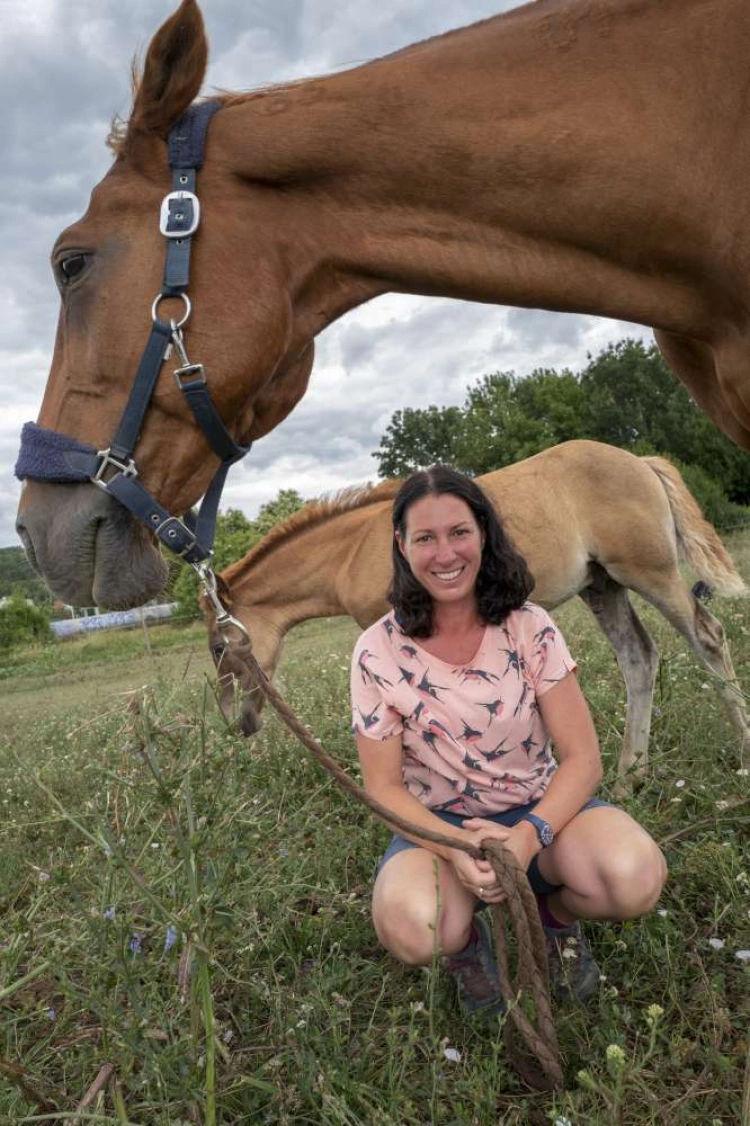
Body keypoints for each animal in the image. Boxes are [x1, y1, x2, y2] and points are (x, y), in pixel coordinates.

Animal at [202, 441, 747, 792]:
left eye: (218, 646)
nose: (238, 722)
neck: (352, 551)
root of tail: (640, 461)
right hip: (602, 584)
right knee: (639, 658)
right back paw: (628, 776)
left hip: (647, 570)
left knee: (708, 636)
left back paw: (740, 755)